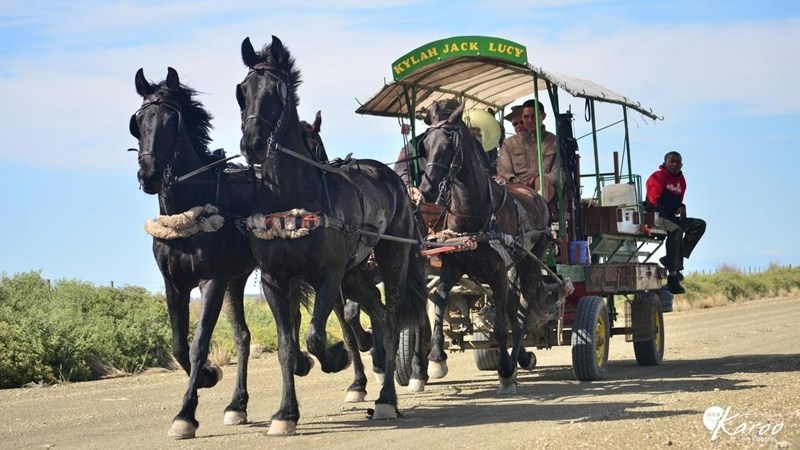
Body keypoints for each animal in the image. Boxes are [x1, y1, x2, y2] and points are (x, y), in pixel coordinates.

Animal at [236, 35, 428, 432]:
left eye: (277, 89)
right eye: (242, 91)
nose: (252, 145)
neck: (291, 198)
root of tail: (390, 176)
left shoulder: (328, 275)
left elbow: (315, 335)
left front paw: (335, 358)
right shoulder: (276, 280)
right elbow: (287, 346)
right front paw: (285, 413)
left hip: (393, 258)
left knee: (392, 317)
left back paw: (386, 397)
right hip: (355, 273)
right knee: (376, 308)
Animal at [418, 99, 552, 394]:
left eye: (449, 142)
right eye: (426, 143)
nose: (426, 189)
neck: (475, 216)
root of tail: (534, 194)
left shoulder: (498, 273)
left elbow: (501, 326)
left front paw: (505, 372)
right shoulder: (452, 268)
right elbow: (440, 301)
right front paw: (436, 360)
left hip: (529, 261)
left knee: (522, 306)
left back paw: (514, 361)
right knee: (514, 305)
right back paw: (520, 356)